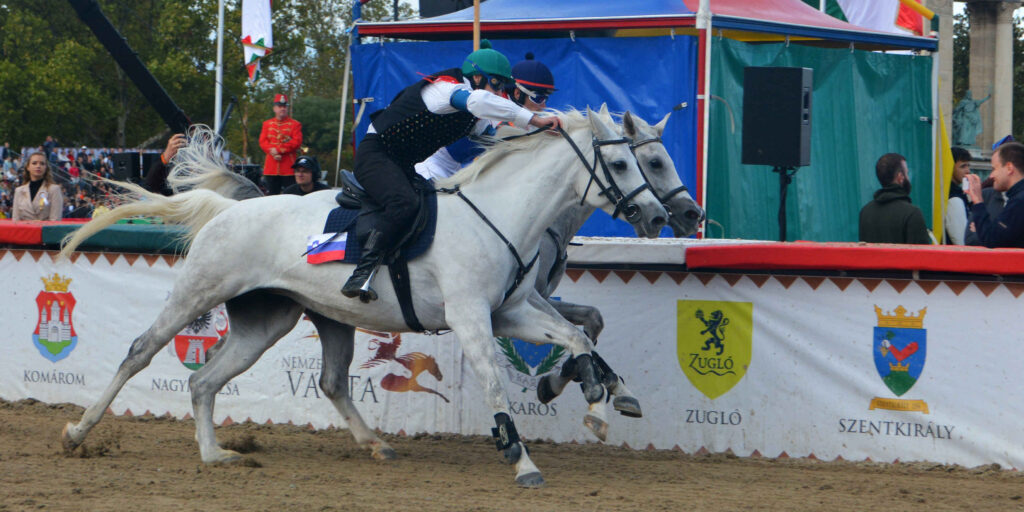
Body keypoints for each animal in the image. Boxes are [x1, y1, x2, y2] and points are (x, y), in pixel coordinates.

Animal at [58, 109, 663, 487]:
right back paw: (78, 432)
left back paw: (219, 453)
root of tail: (229, 210)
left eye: (647, 160)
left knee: (212, 381)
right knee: (140, 352)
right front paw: (521, 459)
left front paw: (602, 402)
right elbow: (497, 382)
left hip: (272, 322)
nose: (659, 216)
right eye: (626, 162)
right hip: (196, 293)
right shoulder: (472, 317)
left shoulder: (510, 312)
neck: (496, 214)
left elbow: (577, 335)